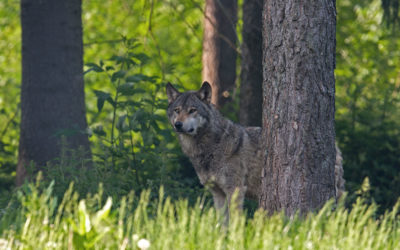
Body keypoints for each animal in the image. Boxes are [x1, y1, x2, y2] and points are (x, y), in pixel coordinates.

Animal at [166, 81, 344, 213]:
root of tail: (336, 145)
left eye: (192, 110)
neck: (210, 146)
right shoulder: (218, 194)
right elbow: (221, 226)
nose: (178, 125)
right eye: (177, 110)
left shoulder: (235, 190)